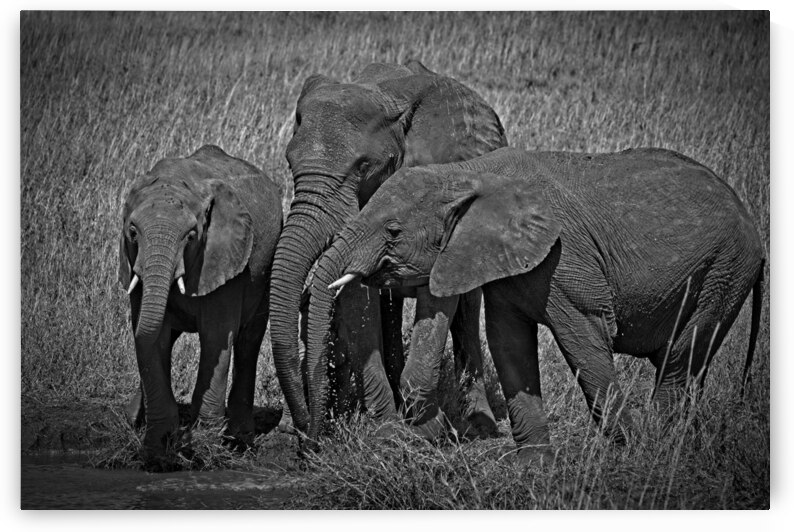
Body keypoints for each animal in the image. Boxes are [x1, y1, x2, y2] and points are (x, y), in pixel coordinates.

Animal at [118, 144, 282, 467]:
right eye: (132, 232)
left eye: (191, 236)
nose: (179, 438)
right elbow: (152, 338)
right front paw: (156, 453)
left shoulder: (225, 260)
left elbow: (216, 337)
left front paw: (204, 451)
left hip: (264, 269)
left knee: (248, 342)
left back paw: (240, 440)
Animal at [269, 60, 506, 444]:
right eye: (290, 164)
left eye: (363, 166)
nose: (307, 434)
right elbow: (356, 298)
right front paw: (387, 431)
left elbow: (436, 301)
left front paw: (427, 430)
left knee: (468, 308)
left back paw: (479, 424)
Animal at [310, 146, 765, 463]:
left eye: (393, 231)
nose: (311, 441)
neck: (468, 173)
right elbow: (508, 342)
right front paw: (532, 465)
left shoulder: (566, 257)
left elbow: (585, 339)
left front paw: (624, 453)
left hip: (725, 269)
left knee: (680, 359)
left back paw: (659, 445)